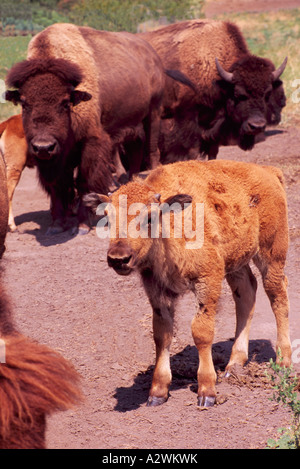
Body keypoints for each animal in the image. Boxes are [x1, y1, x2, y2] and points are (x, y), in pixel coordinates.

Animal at [5, 22, 169, 234]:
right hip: (134, 124)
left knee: (152, 151)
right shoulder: (56, 156)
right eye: (24, 103)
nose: (43, 146)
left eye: (65, 102)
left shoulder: (90, 143)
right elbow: (58, 185)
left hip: (154, 112)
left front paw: (82, 225)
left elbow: (83, 182)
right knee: (135, 155)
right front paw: (57, 225)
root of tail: (152, 54)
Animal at [85, 158, 292, 406]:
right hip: (236, 262)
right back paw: (234, 364)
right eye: (107, 217)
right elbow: (162, 334)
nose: (118, 258)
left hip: (271, 254)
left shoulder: (207, 280)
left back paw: (283, 360)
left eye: (149, 217)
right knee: (246, 293)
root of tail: (270, 172)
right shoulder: (157, 291)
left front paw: (206, 391)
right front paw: (157, 392)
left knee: (278, 296)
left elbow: (201, 331)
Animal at [139, 19, 288, 159]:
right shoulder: (186, 118)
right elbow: (190, 150)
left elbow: (213, 151)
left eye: (267, 94)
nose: (257, 126)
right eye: (238, 94)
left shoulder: (215, 128)